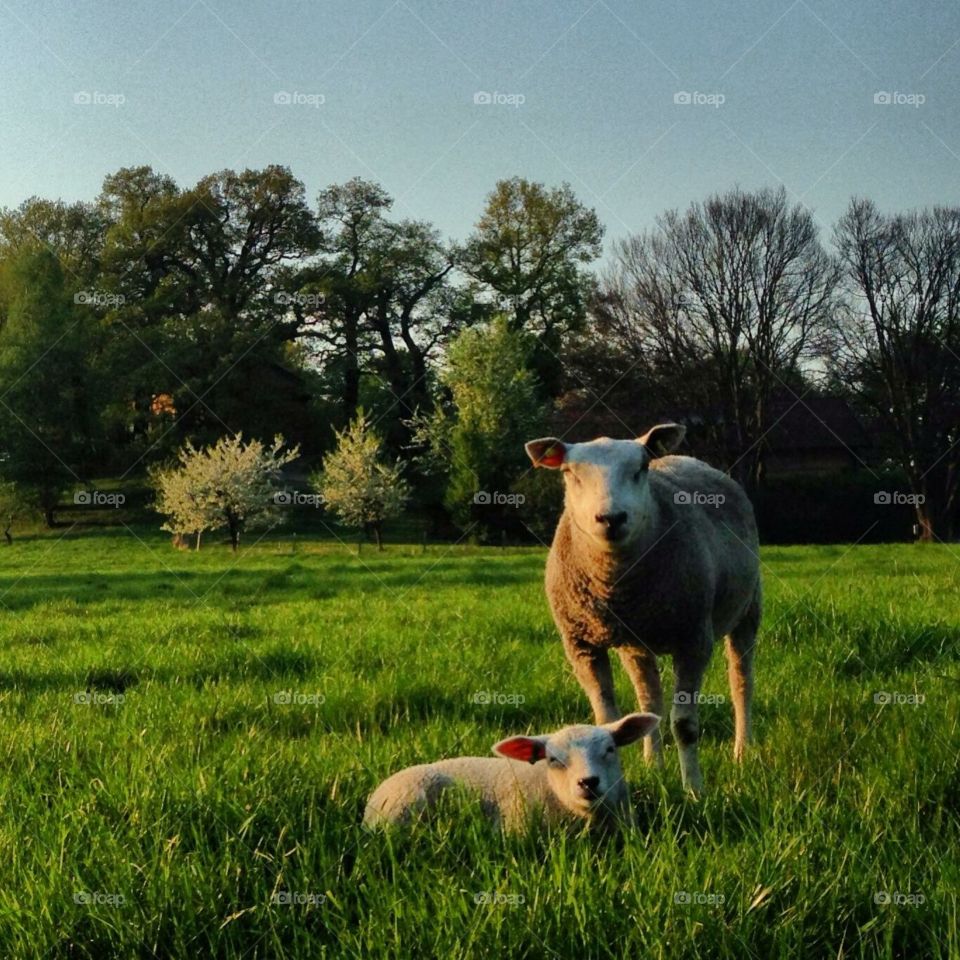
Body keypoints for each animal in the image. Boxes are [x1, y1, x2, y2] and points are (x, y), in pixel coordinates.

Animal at [520, 424, 760, 792]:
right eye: (570, 473)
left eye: (641, 469)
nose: (611, 518)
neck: (615, 583)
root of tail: (688, 458)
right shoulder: (581, 644)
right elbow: (608, 720)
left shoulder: (694, 639)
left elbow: (685, 726)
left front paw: (694, 789)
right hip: (636, 644)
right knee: (649, 700)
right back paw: (653, 765)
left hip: (748, 609)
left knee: (741, 682)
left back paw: (742, 752)